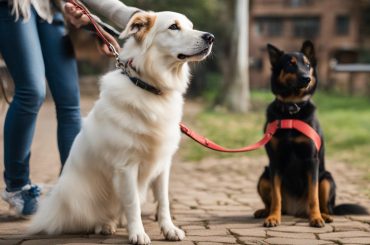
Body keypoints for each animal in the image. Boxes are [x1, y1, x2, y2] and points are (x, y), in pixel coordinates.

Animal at [28, 10, 214, 245]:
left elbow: (164, 201)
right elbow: (132, 203)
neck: (150, 88)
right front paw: (138, 234)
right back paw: (105, 225)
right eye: (174, 27)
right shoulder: (126, 166)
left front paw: (169, 229)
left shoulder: (163, 164)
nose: (211, 37)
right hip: (76, 193)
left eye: (191, 26)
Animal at [256, 40, 368, 228]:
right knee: (271, 201)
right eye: (290, 64)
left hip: (327, 179)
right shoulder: (275, 162)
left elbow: (313, 195)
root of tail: (295, 211)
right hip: (264, 176)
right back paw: (265, 211)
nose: (306, 78)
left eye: (307, 65)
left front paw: (316, 218)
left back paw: (324, 215)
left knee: (326, 206)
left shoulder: (311, 160)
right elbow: (276, 196)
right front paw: (273, 217)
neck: (292, 110)